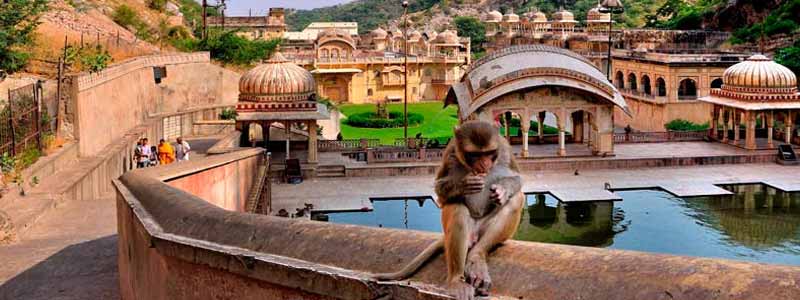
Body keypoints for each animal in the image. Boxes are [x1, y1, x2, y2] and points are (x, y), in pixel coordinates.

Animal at [376, 120, 524, 300]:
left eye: (488, 153)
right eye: (475, 155)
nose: (484, 165)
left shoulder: (504, 150)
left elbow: (517, 179)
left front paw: (502, 190)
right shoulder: (450, 153)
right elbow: (440, 190)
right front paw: (463, 185)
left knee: (516, 199)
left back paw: (477, 258)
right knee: (456, 207)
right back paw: (456, 280)